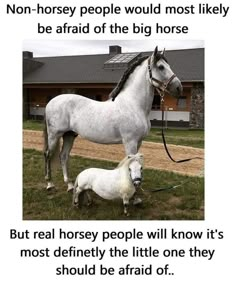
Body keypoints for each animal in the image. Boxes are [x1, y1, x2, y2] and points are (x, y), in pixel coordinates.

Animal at [43, 46, 182, 191]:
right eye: (161, 67)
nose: (179, 88)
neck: (133, 105)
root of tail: (50, 102)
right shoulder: (130, 142)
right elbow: (131, 162)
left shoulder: (138, 142)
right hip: (54, 135)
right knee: (48, 155)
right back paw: (49, 183)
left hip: (69, 135)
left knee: (63, 156)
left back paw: (69, 185)